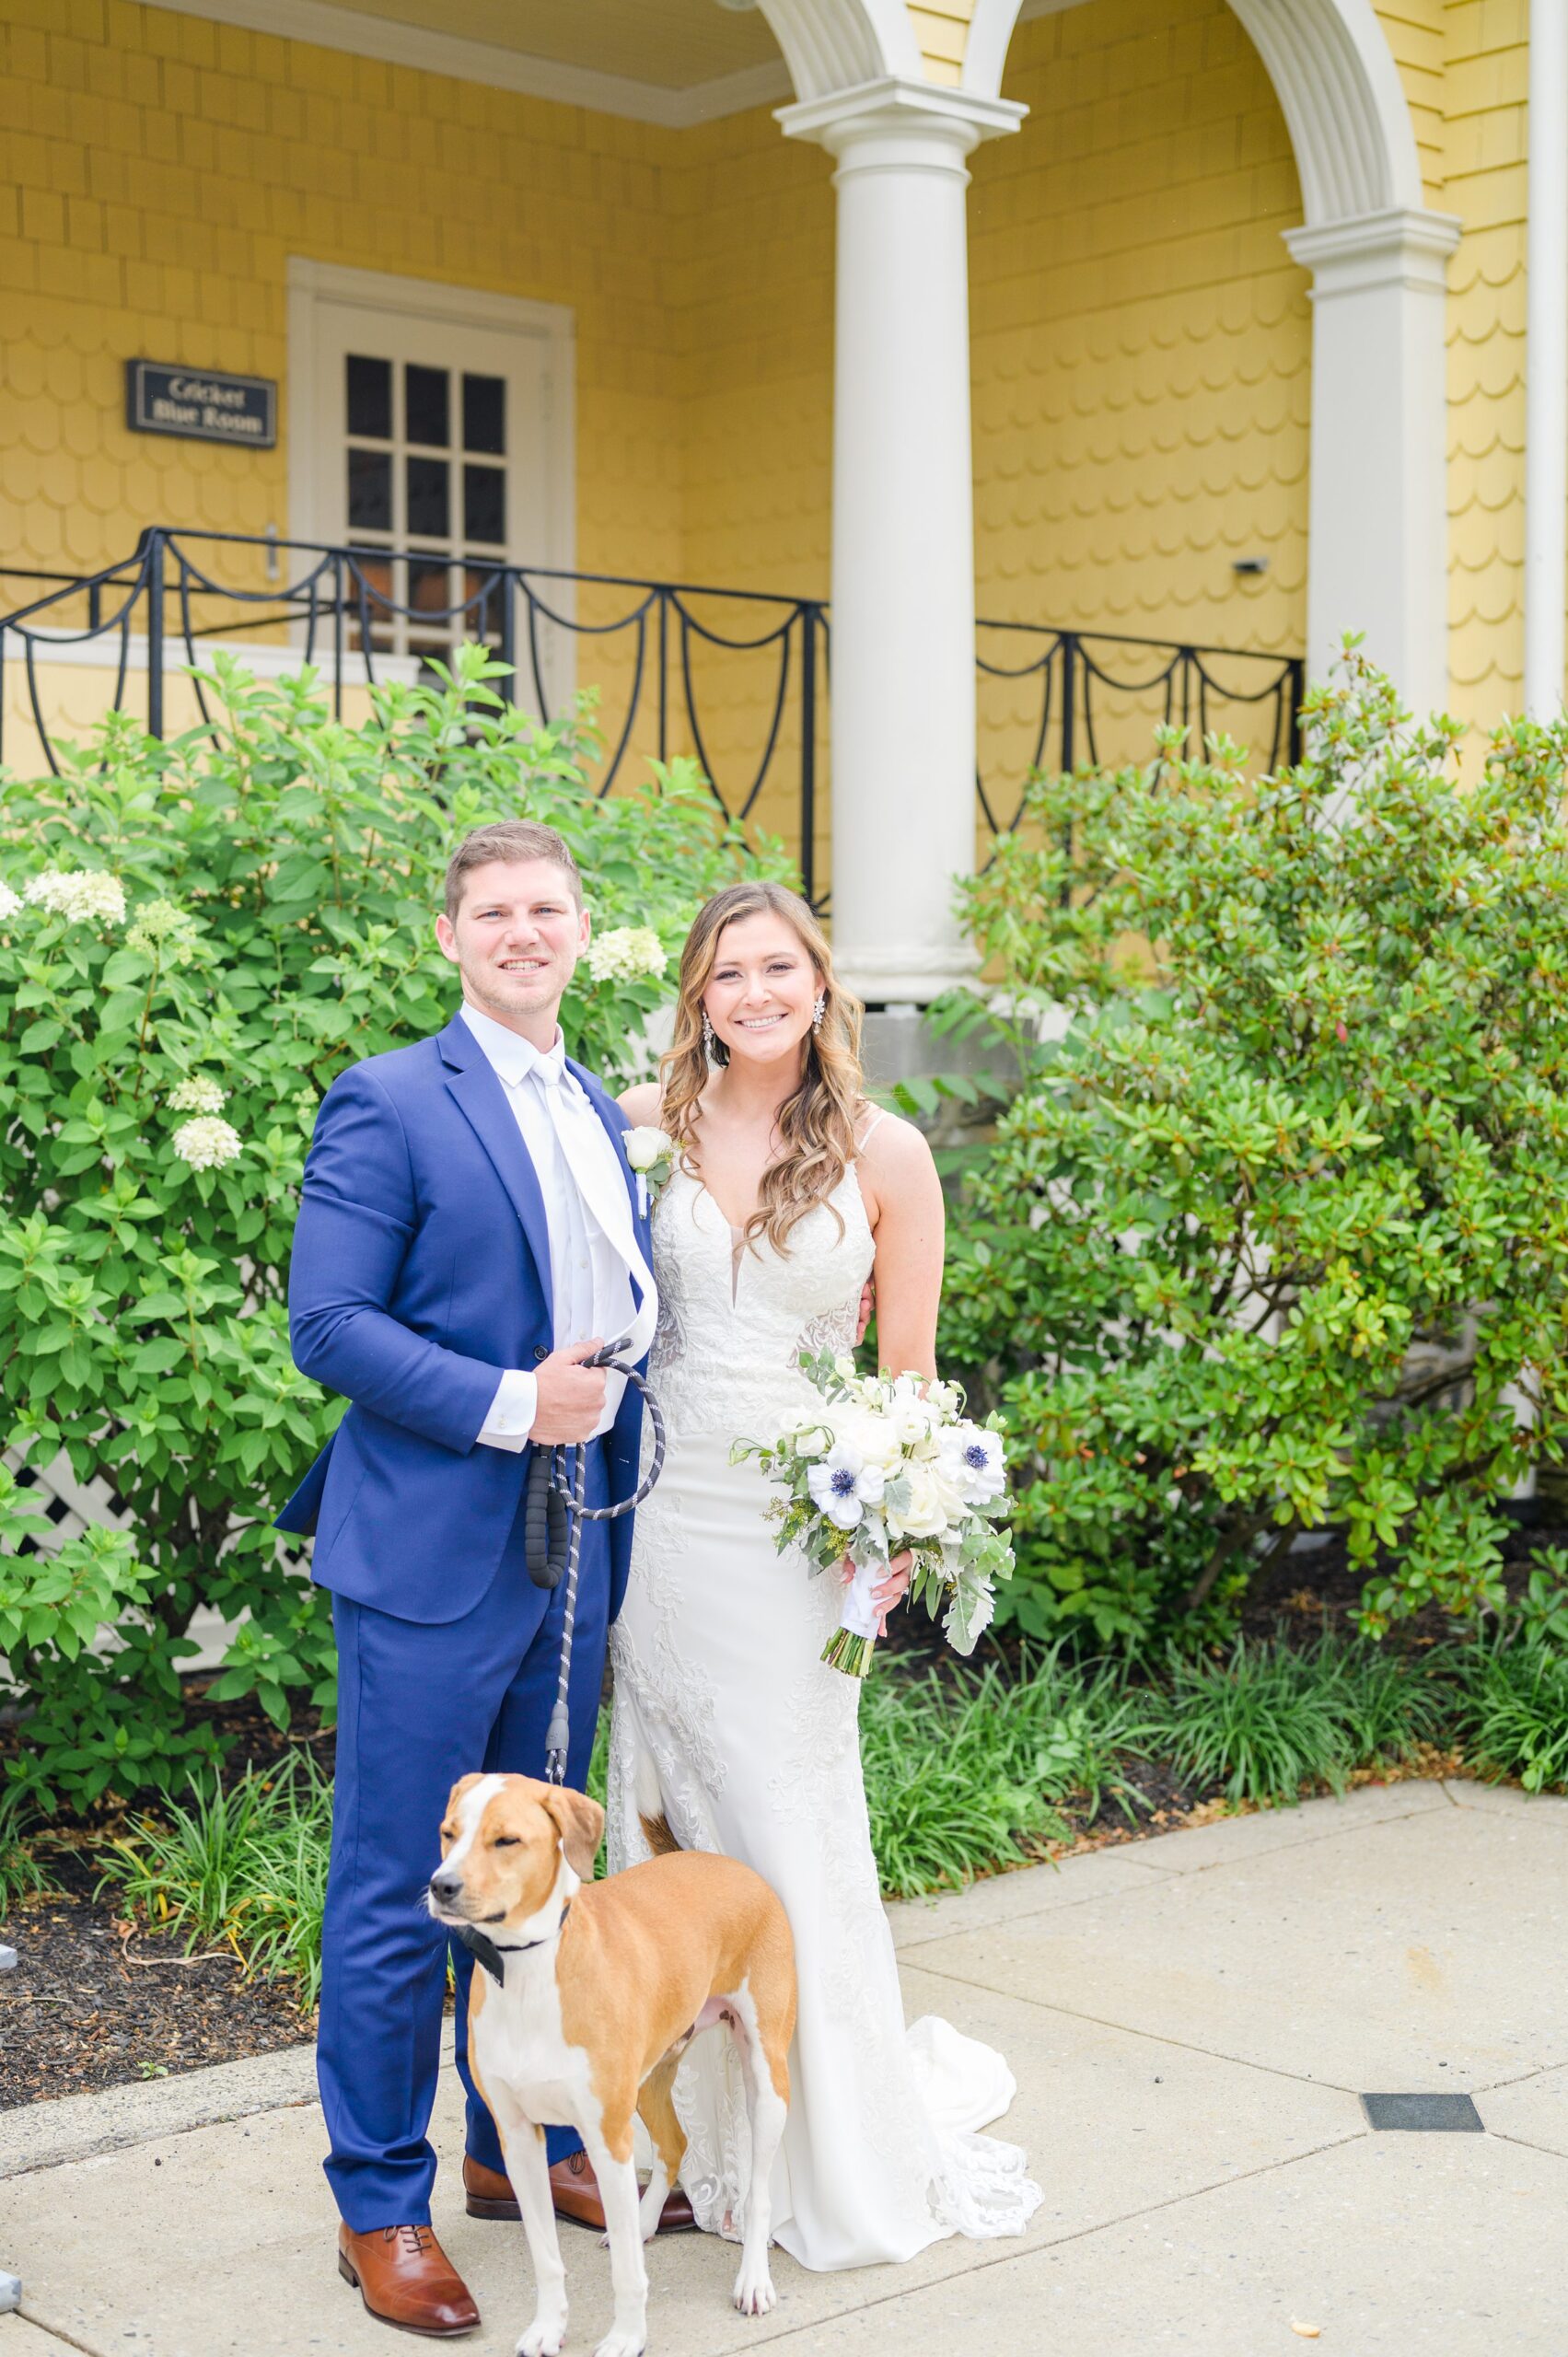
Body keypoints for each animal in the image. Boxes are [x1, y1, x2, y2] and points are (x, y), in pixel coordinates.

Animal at [429, 1772, 796, 2357]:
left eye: (506, 1840)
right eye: (449, 1833)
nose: (441, 1887)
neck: (530, 1970)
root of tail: (720, 1860)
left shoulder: (606, 2136)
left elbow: (627, 2271)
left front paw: (626, 2336)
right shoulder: (520, 2141)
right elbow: (546, 2257)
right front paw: (547, 2328)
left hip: (765, 2078)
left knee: (757, 2192)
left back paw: (753, 2280)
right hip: (647, 2083)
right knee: (674, 2146)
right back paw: (646, 2222)